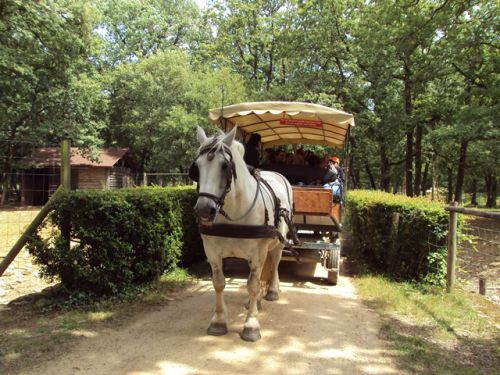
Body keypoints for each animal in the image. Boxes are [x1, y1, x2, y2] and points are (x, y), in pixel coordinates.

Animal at [190, 125, 292, 342]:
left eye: (224, 166)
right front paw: (219, 321)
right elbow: (219, 283)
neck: (235, 213)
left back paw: (272, 290)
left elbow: (252, 285)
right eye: (197, 168)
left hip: (278, 242)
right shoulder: (212, 252)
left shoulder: (257, 252)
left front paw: (251, 325)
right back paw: (256, 302)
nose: (204, 210)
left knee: (275, 261)